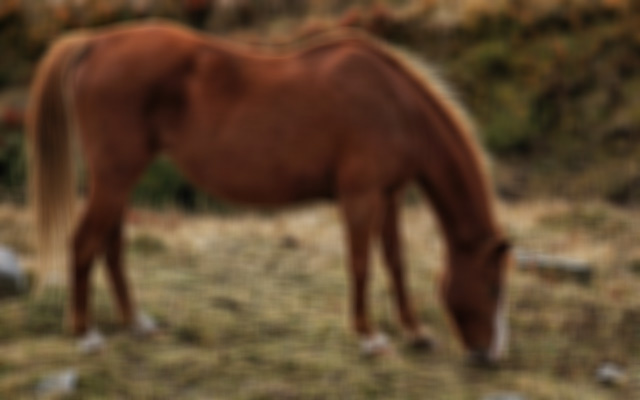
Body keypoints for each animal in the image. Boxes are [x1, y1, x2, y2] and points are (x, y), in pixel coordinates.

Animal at [27, 20, 512, 366]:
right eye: (492, 287)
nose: (491, 356)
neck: (393, 104)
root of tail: (97, 42)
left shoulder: (388, 196)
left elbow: (395, 263)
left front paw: (416, 333)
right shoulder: (361, 196)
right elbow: (361, 264)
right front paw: (370, 338)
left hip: (119, 179)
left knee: (111, 244)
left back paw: (138, 324)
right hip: (115, 177)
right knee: (85, 242)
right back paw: (86, 335)